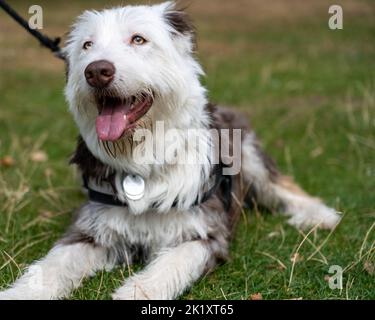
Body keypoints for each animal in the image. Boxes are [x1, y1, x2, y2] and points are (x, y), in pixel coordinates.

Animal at [0, 1, 340, 300]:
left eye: (138, 39)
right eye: (87, 45)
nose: (96, 71)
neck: (141, 155)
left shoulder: (204, 232)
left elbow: (170, 265)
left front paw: (135, 292)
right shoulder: (90, 229)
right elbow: (53, 264)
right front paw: (21, 293)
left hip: (249, 156)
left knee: (280, 185)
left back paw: (321, 215)